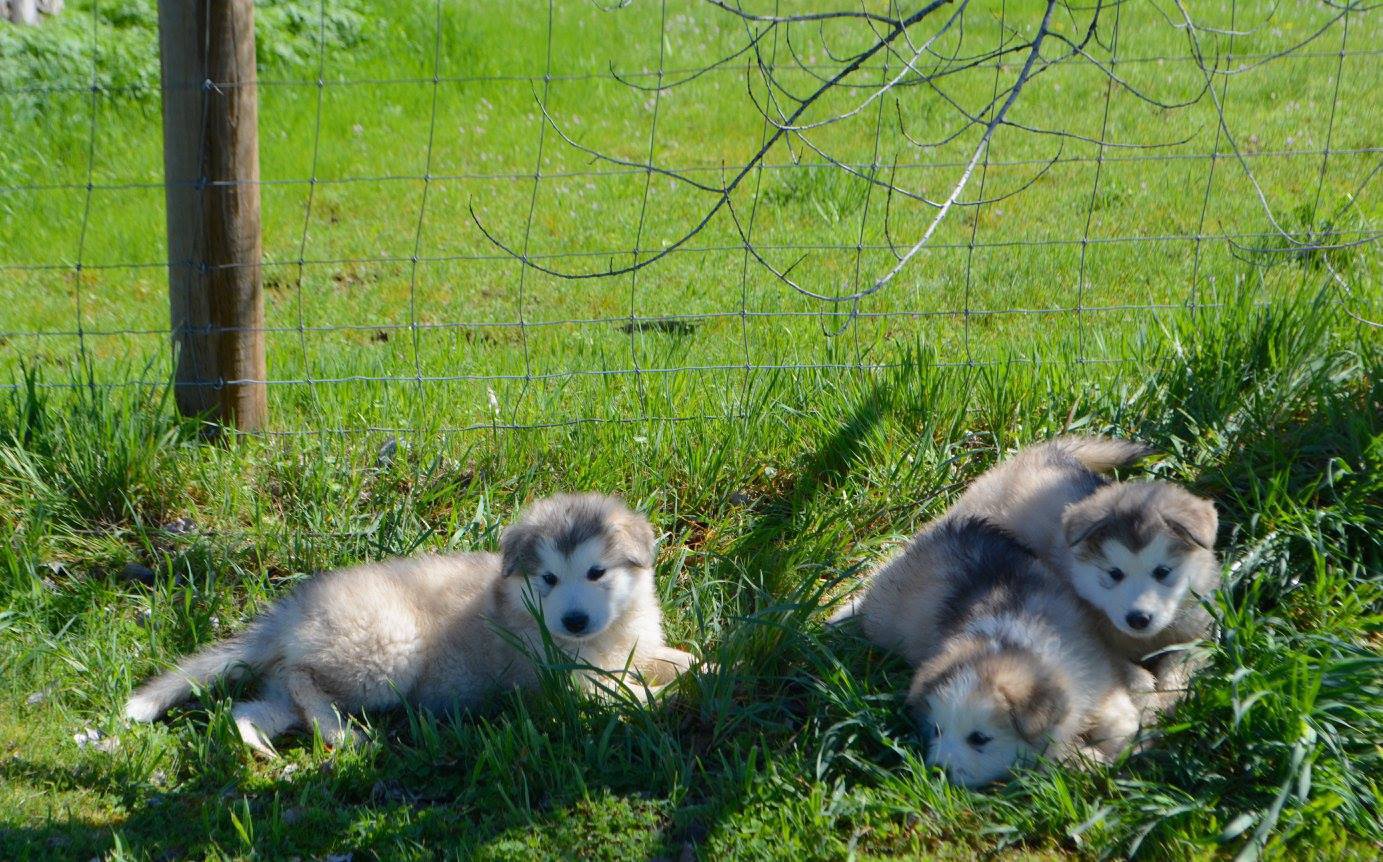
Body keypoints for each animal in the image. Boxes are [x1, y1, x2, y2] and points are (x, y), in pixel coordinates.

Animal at [124, 492, 697, 752]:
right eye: (549, 579)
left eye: (597, 572)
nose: (575, 620)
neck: (605, 637)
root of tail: (293, 610)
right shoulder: (563, 685)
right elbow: (624, 693)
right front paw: (665, 698)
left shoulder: (638, 648)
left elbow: (676, 659)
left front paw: (702, 669)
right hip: (388, 650)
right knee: (300, 678)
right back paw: (341, 734)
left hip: (294, 686)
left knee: (253, 705)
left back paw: (256, 742)